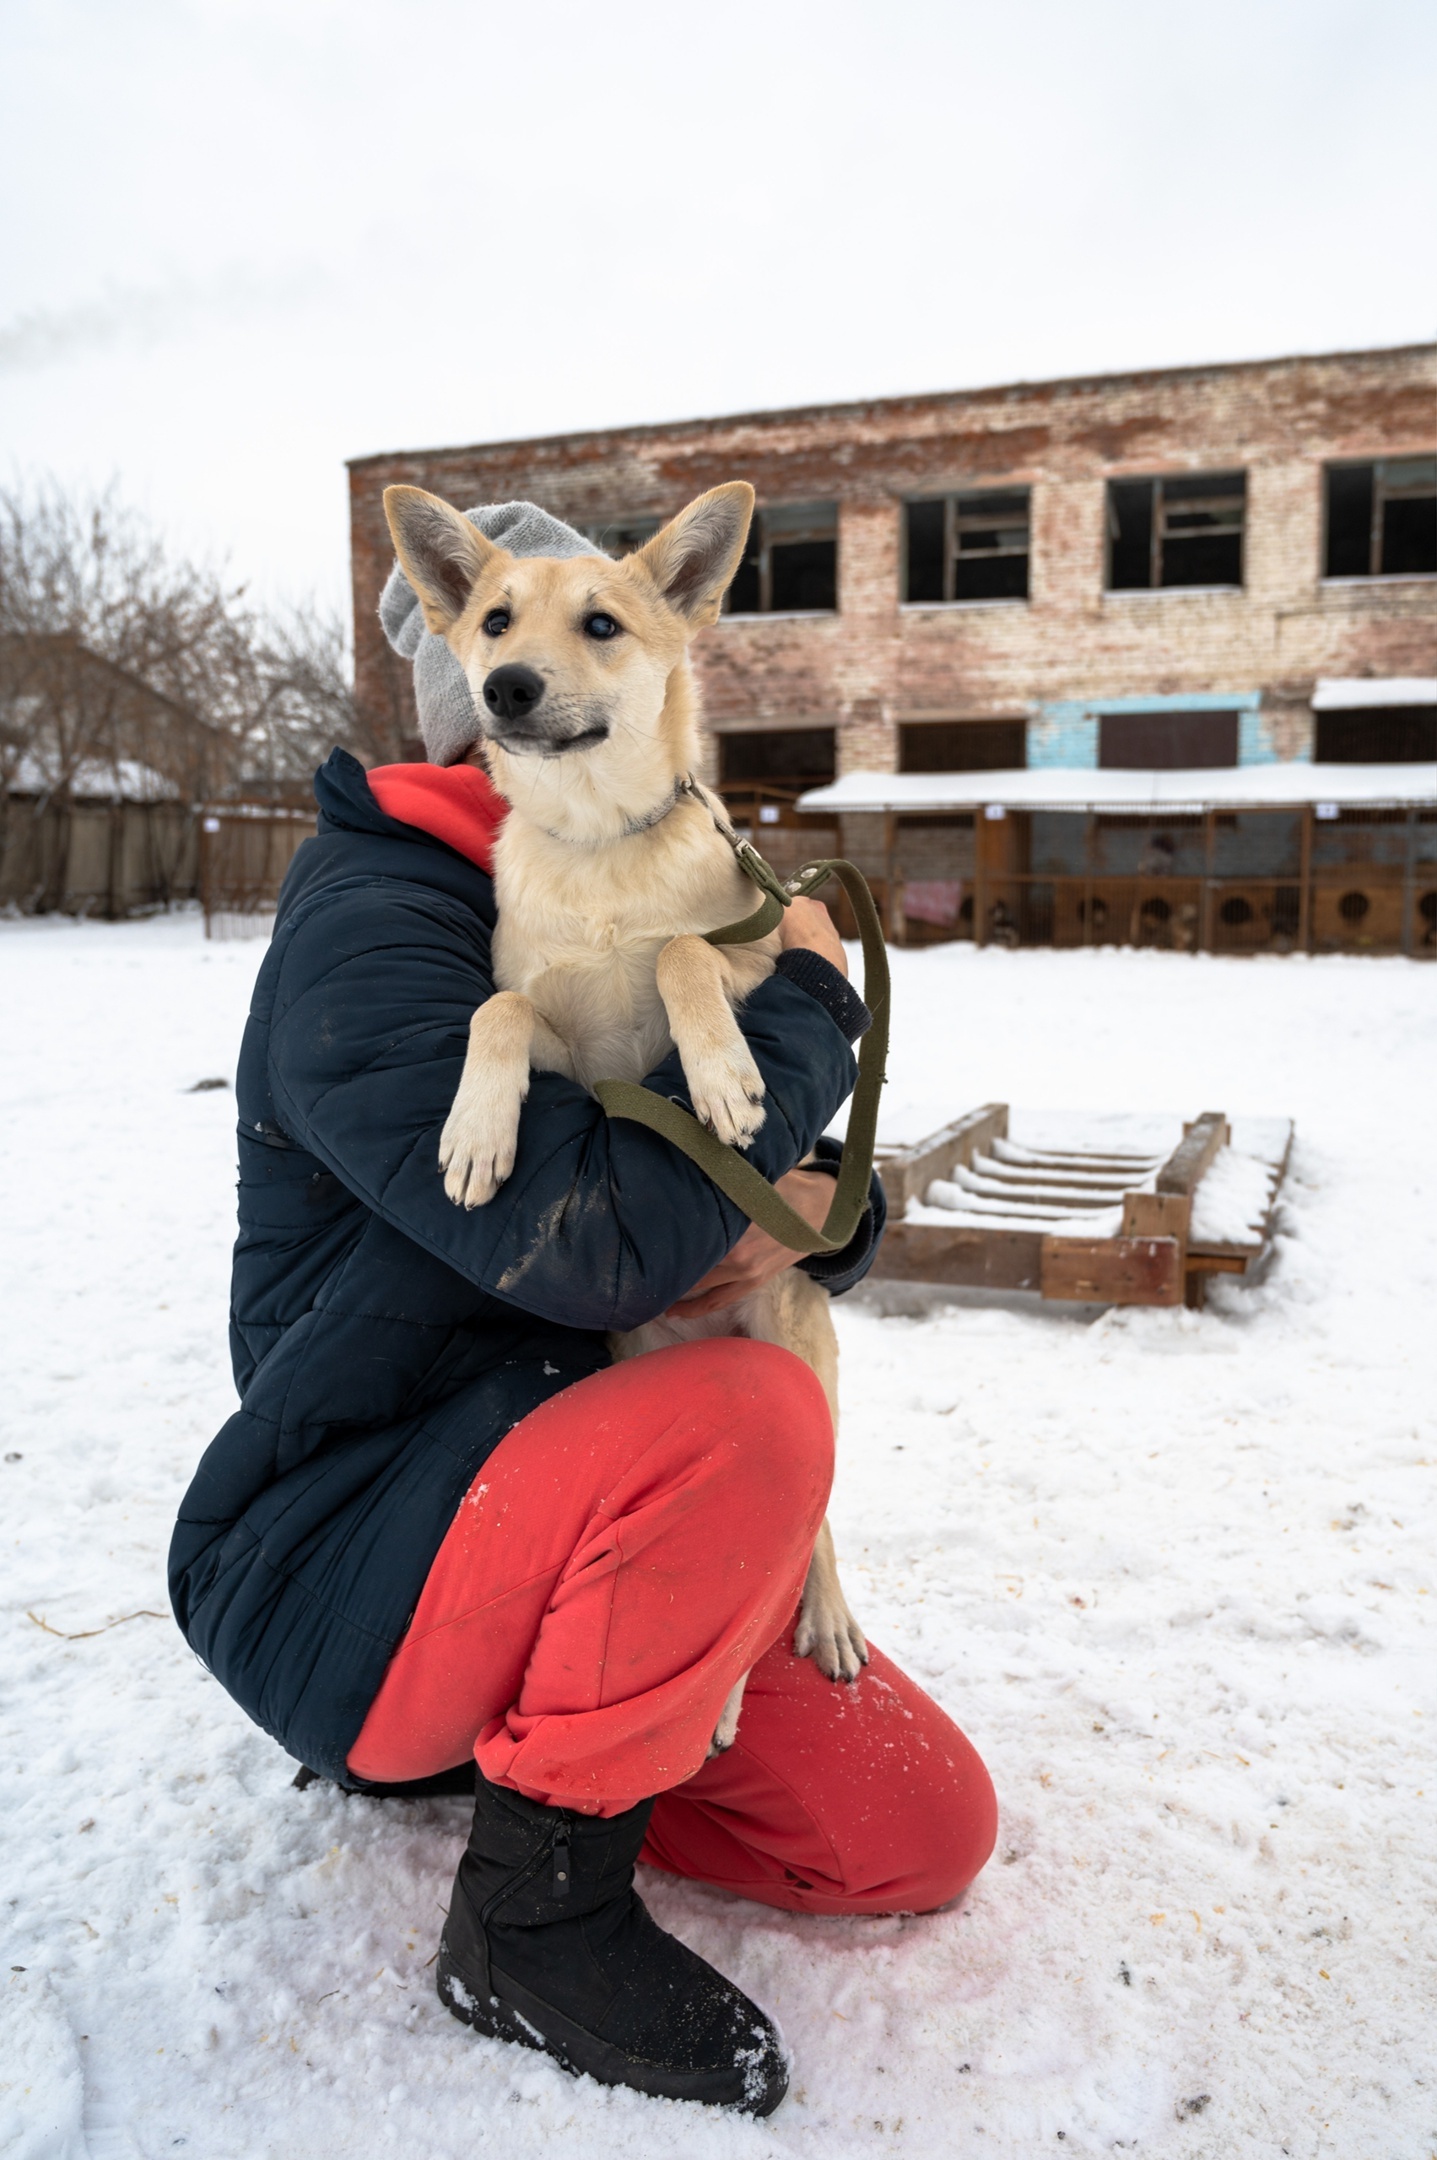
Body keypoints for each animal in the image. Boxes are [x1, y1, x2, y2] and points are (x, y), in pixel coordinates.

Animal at [380, 481, 868, 1728]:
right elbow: (497, 1010)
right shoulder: (566, 1044)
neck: (599, 845)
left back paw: (817, 1627)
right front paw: (474, 1135)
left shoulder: (754, 959)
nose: (507, 687)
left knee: (815, 1521)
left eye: (602, 625)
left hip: (803, 1358)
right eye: (494, 621)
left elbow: (687, 954)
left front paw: (726, 1080)